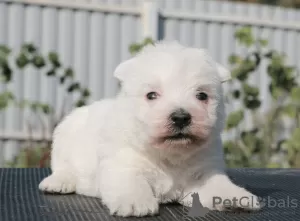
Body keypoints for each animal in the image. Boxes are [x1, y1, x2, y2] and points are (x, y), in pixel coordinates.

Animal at [39, 41, 260, 216]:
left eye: (202, 95)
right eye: (151, 95)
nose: (180, 117)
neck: (169, 155)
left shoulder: (204, 172)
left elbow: (217, 184)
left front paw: (236, 197)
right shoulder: (122, 162)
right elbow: (130, 181)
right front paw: (135, 202)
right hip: (63, 143)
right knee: (63, 167)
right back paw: (58, 182)